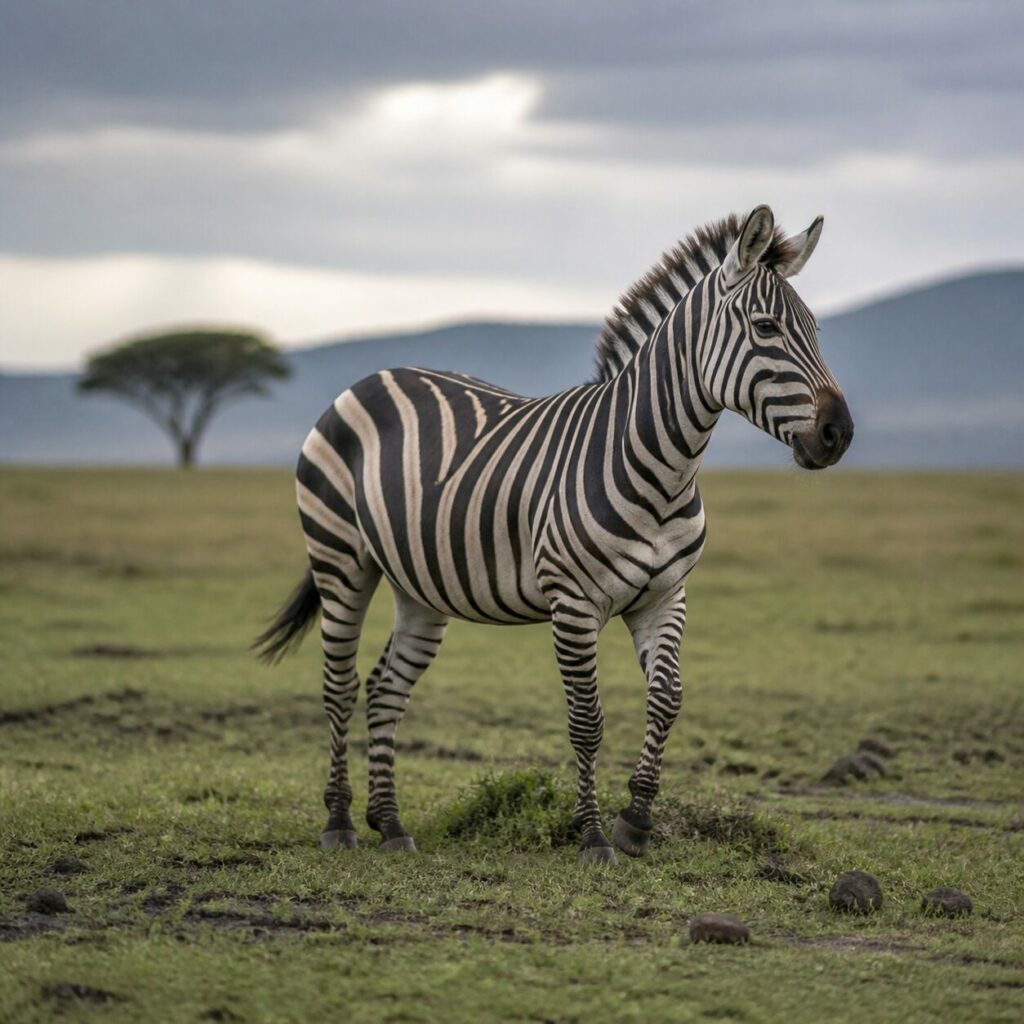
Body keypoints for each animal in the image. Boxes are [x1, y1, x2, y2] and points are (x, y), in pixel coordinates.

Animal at [255, 205, 853, 864]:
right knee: (340, 685)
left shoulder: (665, 596)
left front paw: (636, 822)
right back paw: (339, 823)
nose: (839, 434)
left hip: (419, 585)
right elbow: (586, 720)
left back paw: (390, 823)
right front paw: (592, 836)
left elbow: (667, 700)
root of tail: (372, 377)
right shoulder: (573, 602)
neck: (663, 468)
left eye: (817, 330)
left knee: (386, 688)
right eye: (767, 327)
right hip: (340, 557)